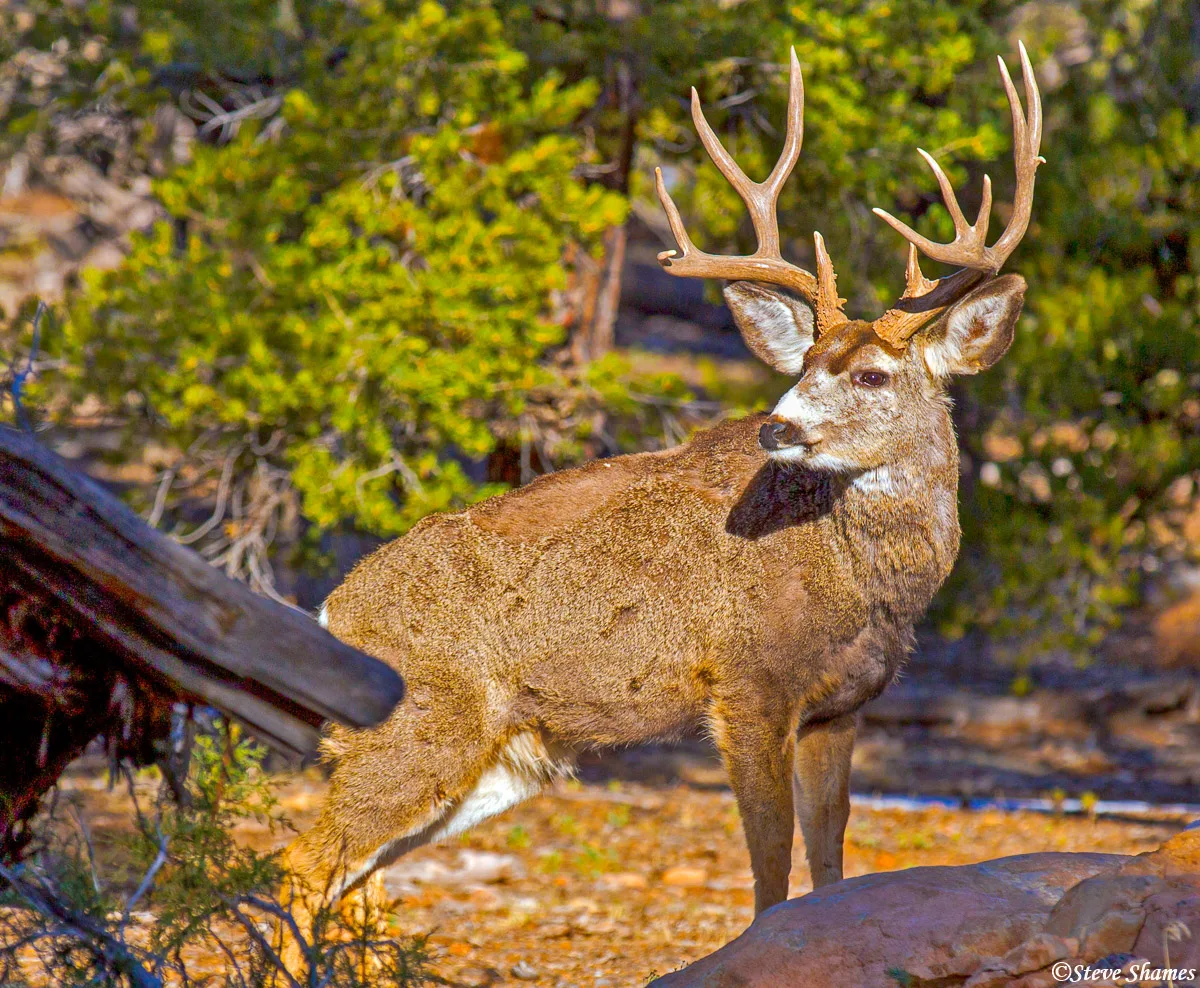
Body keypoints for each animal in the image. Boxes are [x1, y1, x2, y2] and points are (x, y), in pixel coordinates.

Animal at [277, 43, 1043, 960]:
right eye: (802, 364)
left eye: (870, 374)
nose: (777, 427)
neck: (862, 582)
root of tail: (333, 610)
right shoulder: (746, 686)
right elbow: (770, 870)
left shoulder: (840, 710)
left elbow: (828, 866)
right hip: (419, 726)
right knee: (301, 865)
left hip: (496, 761)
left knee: (354, 883)